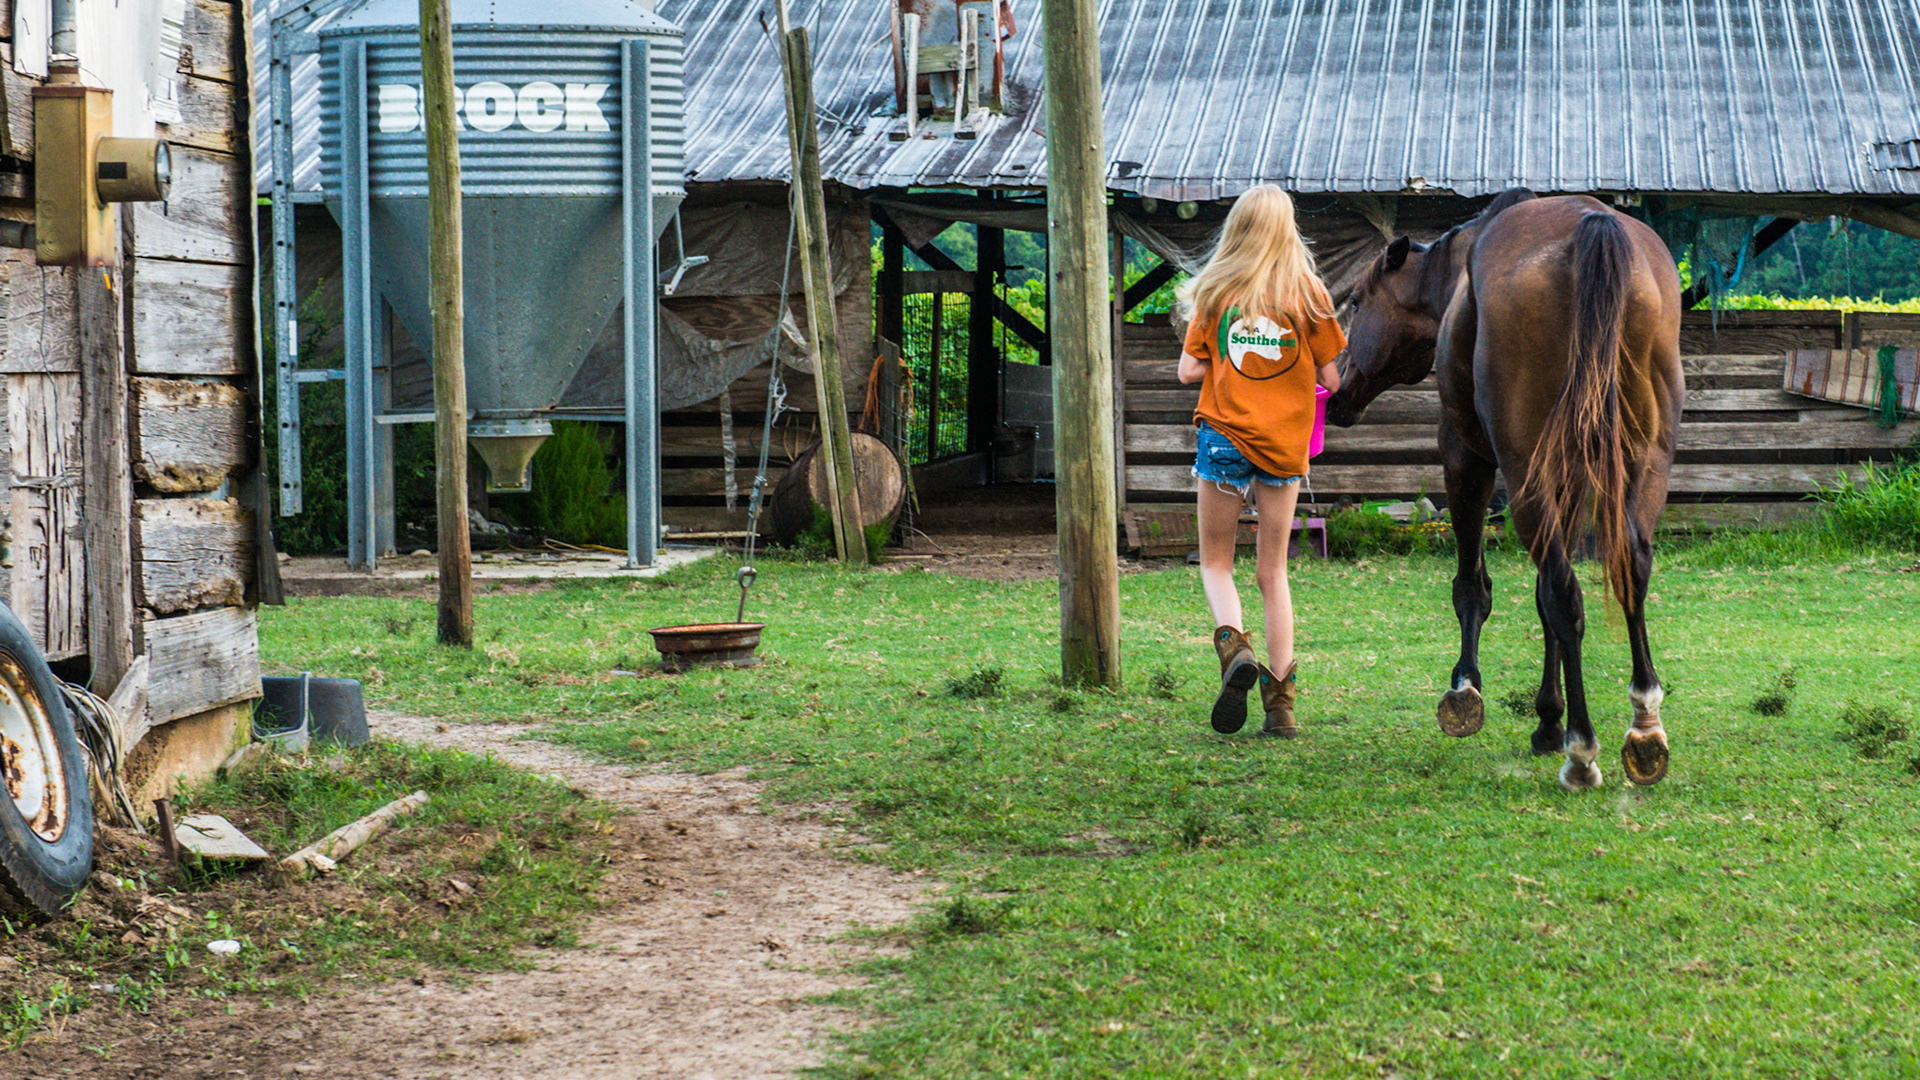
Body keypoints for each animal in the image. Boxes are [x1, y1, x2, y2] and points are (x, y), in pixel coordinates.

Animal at [1324, 190, 1684, 790]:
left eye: (1355, 300)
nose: (1337, 387)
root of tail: (1594, 226)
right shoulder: (1563, 478)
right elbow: (1540, 599)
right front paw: (1546, 719)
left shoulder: (1464, 458)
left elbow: (1475, 586)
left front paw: (1465, 689)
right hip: (1643, 461)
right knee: (1627, 566)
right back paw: (1644, 728)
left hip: (1521, 475)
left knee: (1565, 591)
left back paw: (1582, 752)